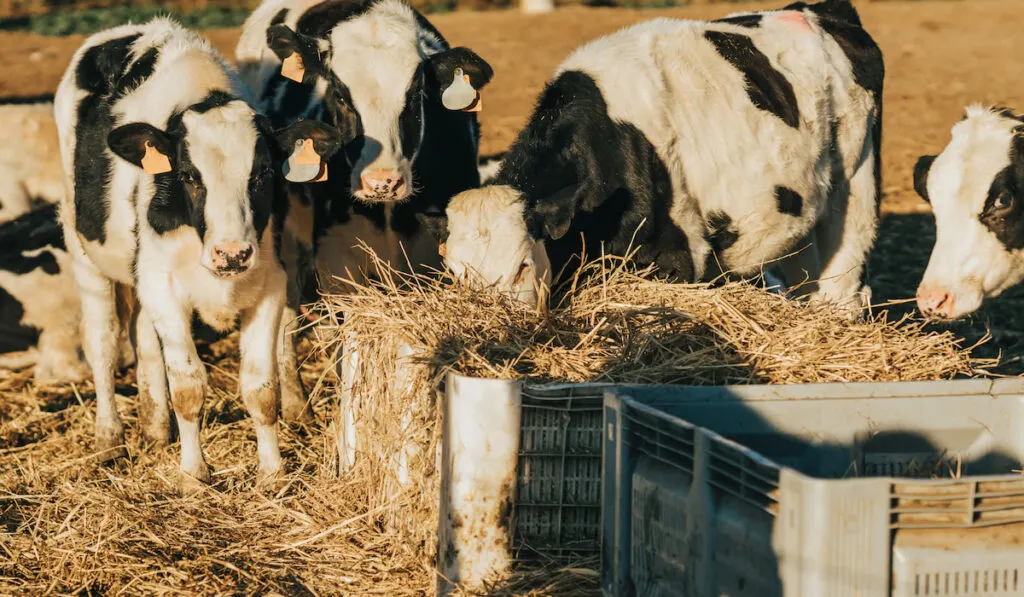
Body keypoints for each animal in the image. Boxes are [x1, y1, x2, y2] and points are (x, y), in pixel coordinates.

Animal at [54, 18, 346, 487]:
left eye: (263, 173)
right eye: (189, 176)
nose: (232, 254)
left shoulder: (270, 287)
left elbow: (261, 388)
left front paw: (272, 470)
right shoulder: (164, 289)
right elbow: (189, 386)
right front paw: (194, 473)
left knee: (143, 337)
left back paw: (155, 425)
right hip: (84, 252)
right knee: (102, 342)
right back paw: (109, 438)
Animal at [440, 0, 880, 315]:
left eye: (522, 267)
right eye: (456, 274)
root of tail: (818, 10)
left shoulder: (676, 256)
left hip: (855, 177)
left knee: (843, 287)